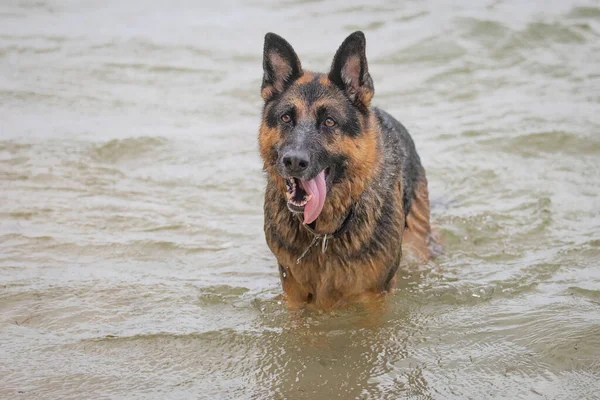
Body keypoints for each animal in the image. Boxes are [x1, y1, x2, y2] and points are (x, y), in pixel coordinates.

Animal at [258, 32, 432, 310]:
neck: (324, 233)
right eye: (286, 118)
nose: (293, 161)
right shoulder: (293, 295)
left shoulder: (374, 298)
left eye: (329, 122)